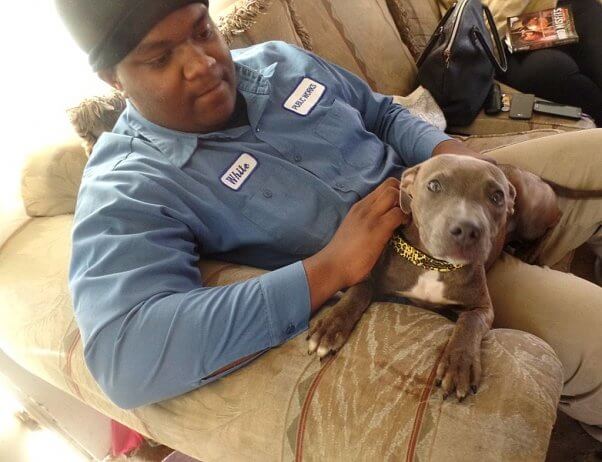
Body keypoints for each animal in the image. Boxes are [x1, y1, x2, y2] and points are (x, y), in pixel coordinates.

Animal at [308, 154, 516, 400]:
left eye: (497, 196)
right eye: (434, 185)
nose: (467, 229)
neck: (433, 264)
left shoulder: (482, 307)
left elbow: (469, 322)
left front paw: (459, 364)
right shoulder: (373, 279)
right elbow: (358, 291)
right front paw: (330, 327)